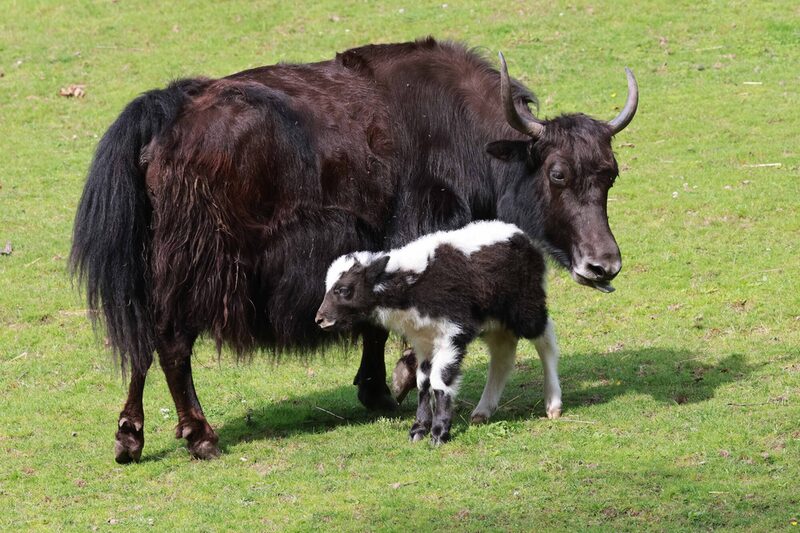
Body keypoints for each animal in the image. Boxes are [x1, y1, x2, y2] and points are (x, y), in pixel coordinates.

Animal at [314, 218, 564, 442]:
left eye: (344, 290)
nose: (319, 319)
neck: (409, 286)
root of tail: (521, 235)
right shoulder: (423, 340)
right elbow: (423, 383)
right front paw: (419, 429)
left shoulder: (452, 332)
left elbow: (439, 381)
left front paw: (439, 433)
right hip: (493, 320)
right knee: (502, 354)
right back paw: (482, 411)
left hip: (526, 304)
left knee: (546, 339)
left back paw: (553, 403)